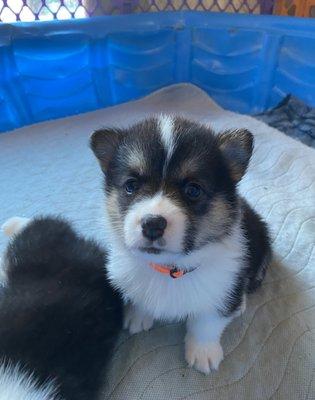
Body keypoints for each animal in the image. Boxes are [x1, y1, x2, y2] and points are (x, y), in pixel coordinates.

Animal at [90, 115, 272, 376]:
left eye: (193, 190)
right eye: (131, 185)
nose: (152, 224)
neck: (169, 268)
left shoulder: (219, 291)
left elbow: (206, 323)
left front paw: (203, 353)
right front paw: (138, 316)